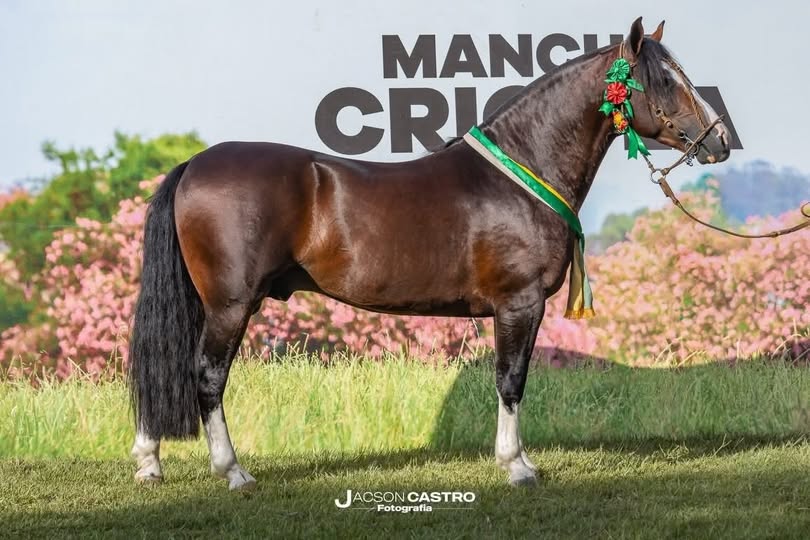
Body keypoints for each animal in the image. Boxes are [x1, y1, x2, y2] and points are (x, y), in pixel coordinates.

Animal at [128, 17, 731, 490]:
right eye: (665, 81)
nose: (720, 141)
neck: (520, 171)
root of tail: (195, 164)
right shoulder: (519, 303)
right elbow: (511, 380)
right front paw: (516, 466)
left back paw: (149, 462)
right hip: (230, 305)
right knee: (207, 377)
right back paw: (232, 472)